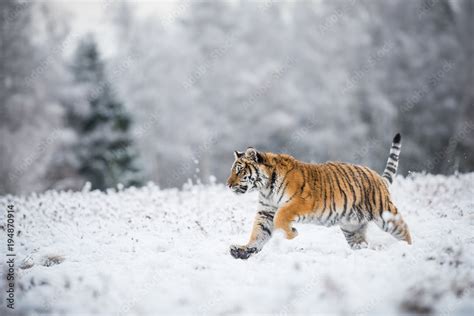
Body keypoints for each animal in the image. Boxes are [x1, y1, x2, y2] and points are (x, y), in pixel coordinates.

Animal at [226, 133, 412, 260]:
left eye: (239, 171)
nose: (228, 185)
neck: (265, 188)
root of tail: (377, 176)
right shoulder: (266, 212)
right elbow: (258, 233)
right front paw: (242, 250)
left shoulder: (299, 202)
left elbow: (281, 217)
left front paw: (292, 234)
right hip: (352, 227)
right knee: (362, 244)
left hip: (385, 215)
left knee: (404, 231)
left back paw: (407, 250)